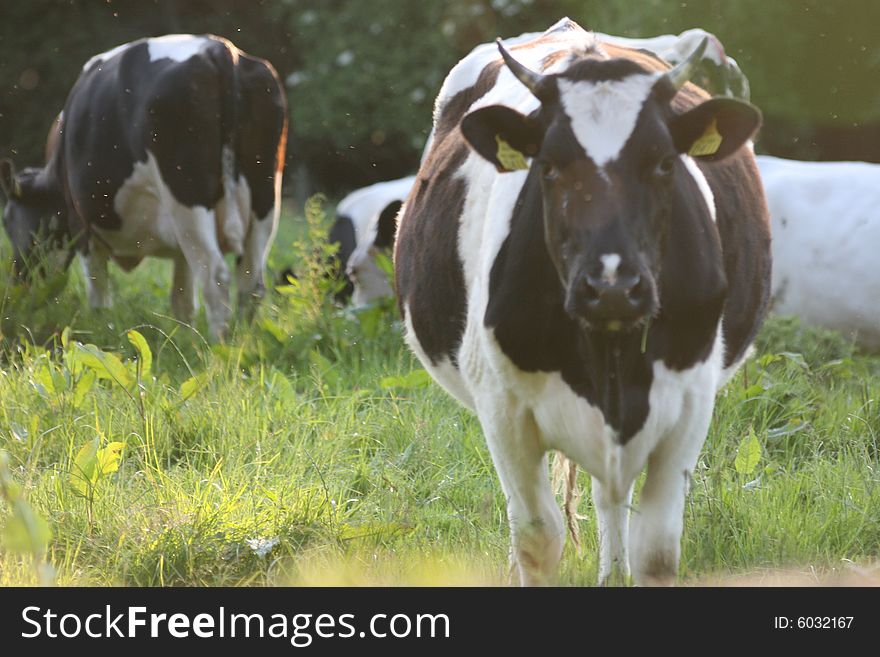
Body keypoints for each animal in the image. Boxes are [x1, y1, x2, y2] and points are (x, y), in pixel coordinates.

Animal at [0, 33, 288, 338]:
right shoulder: (178, 245)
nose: (17, 285)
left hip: (186, 196)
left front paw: (100, 329)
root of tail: (218, 48)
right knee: (251, 282)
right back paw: (243, 340)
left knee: (215, 275)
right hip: (264, 199)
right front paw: (185, 339)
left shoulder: (82, 227)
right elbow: (183, 300)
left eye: (8, 222)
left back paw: (218, 345)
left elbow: (99, 293)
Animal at [394, 19, 768, 584]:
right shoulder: (502, 409)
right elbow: (537, 537)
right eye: (547, 166)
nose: (612, 286)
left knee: (610, 496)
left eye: (665, 163)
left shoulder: (689, 403)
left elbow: (657, 550)